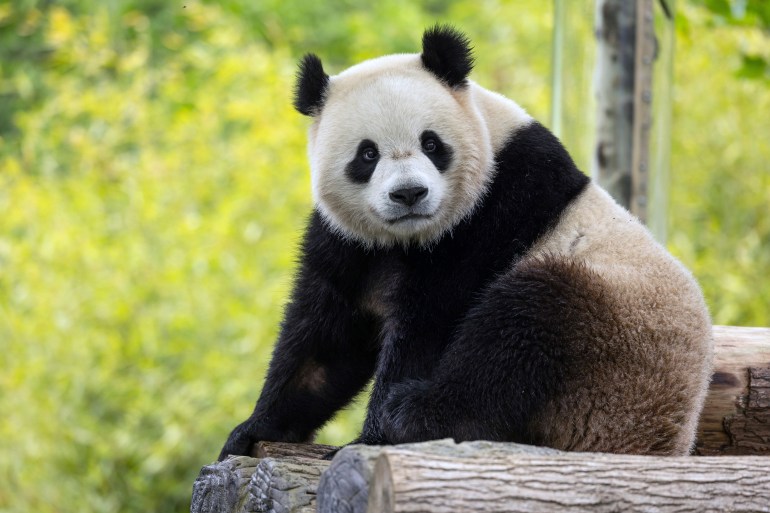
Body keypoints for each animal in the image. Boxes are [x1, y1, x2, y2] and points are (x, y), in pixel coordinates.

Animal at [219, 26, 712, 458]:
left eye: (431, 144)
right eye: (367, 154)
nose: (409, 194)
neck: (408, 238)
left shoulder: (492, 212)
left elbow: (430, 325)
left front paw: (372, 437)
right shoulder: (351, 241)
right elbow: (327, 339)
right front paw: (253, 430)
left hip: (614, 343)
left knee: (522, 329)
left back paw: (414, 413)